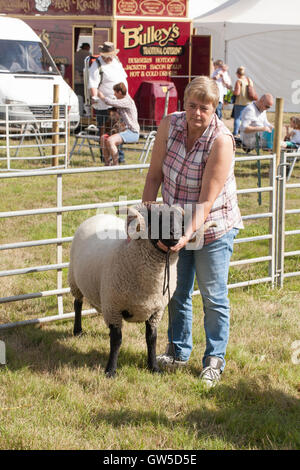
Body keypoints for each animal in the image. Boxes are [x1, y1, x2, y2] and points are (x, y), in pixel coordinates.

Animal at [68, 204, 213, 376]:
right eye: (157, 219)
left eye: (182, 221)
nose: (174, 235)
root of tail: (98, 216)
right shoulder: (113, 307)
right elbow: (116, 340)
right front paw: (110, 370)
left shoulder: (156, 311)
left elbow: (152, 338)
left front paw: (154, 367)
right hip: (74, 280)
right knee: (77, 304)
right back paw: (77, 331)